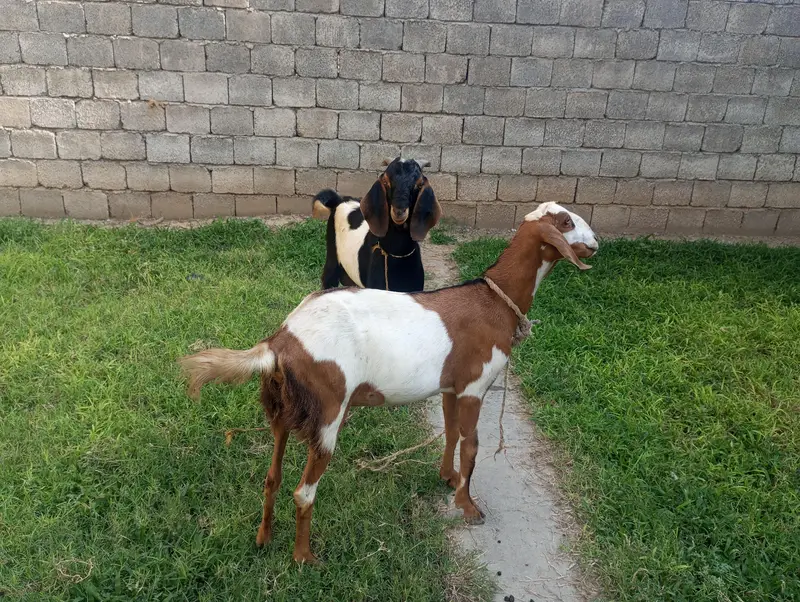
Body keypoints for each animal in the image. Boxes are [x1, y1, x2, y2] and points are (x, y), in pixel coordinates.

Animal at [179, 201, 599, 564]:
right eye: (566, 222)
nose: (596, 242)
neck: (494, 301)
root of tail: (280, 341)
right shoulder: (473, 387)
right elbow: (471, 446)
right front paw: (468, 506)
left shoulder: (450, 386)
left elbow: (450, 432)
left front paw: (447, 478)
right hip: (329, 413)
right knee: (304, 492)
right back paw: (304, 557)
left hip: (282, 410)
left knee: (272, 478)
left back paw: (263, 539)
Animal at [311, 157, 441, 293]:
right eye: (385, 181)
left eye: (419, 184)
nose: (399, 211)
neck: (397, 254)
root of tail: (339, 200)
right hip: (332, 257)